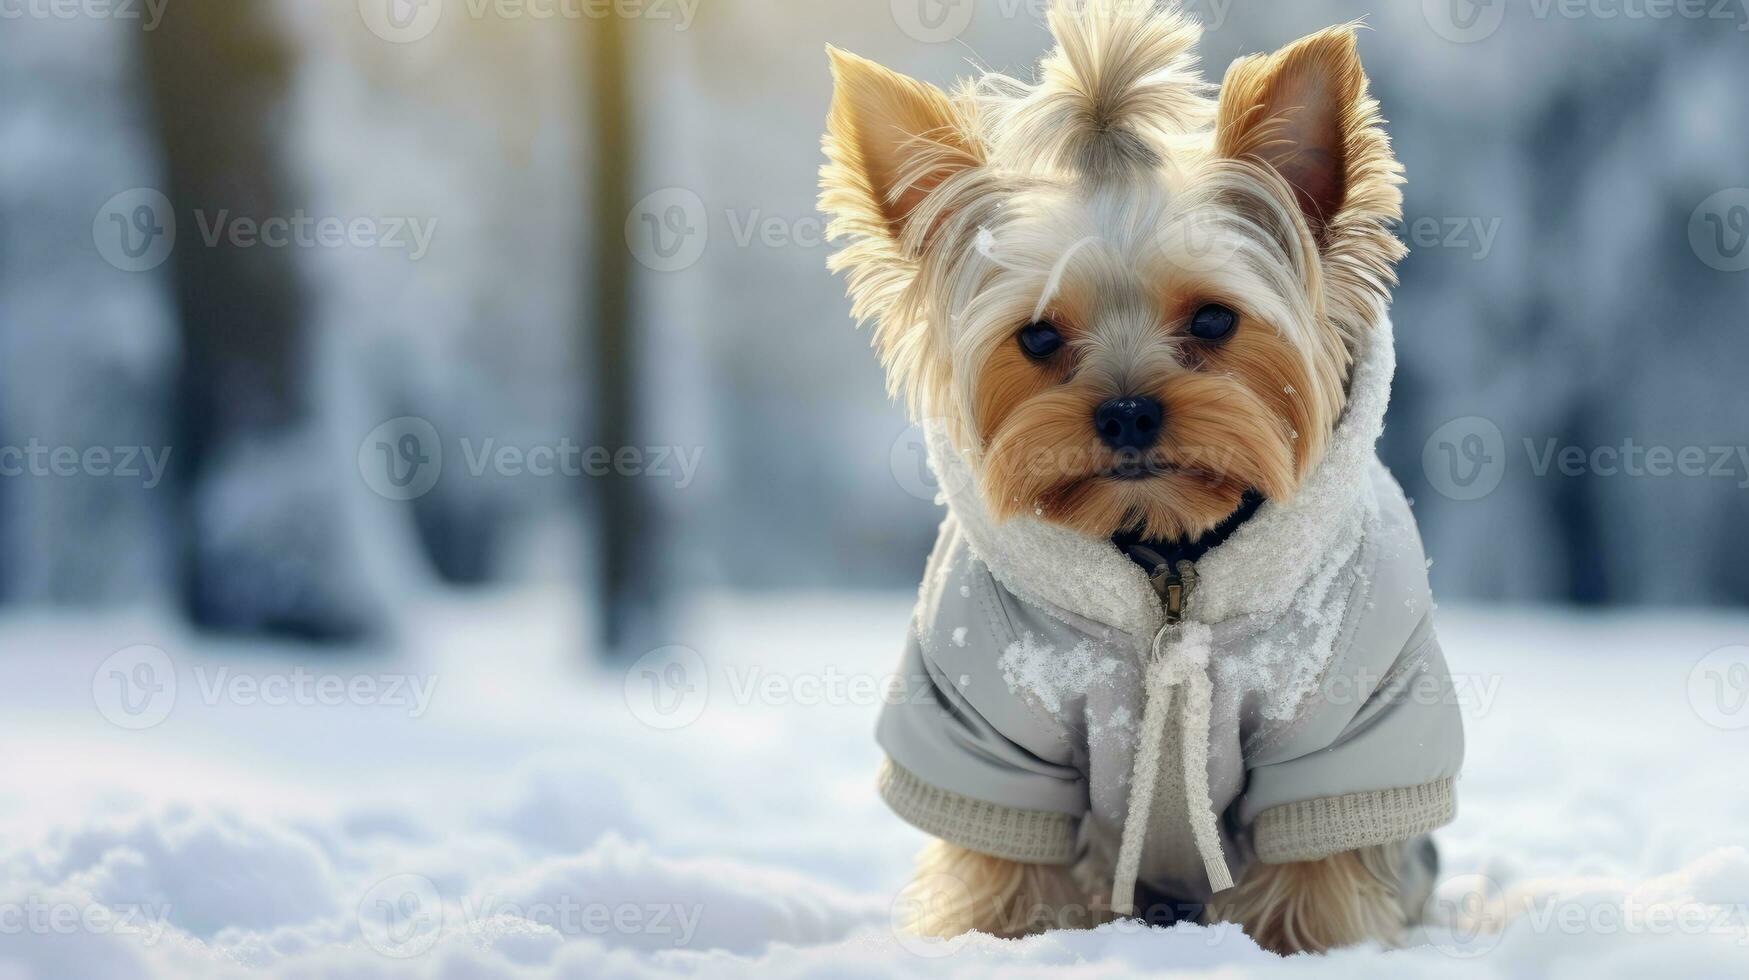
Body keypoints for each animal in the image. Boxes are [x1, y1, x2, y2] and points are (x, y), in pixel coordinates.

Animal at [818, 0, 1462, 952]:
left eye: (1214, 319)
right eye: (1037, 336)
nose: (1125, 413)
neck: (1165, 555)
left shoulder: (1345, 727)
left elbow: (1315, 862)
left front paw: (1300, 951)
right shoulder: (986, 731)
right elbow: (1003, 858)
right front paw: (1003, 943)